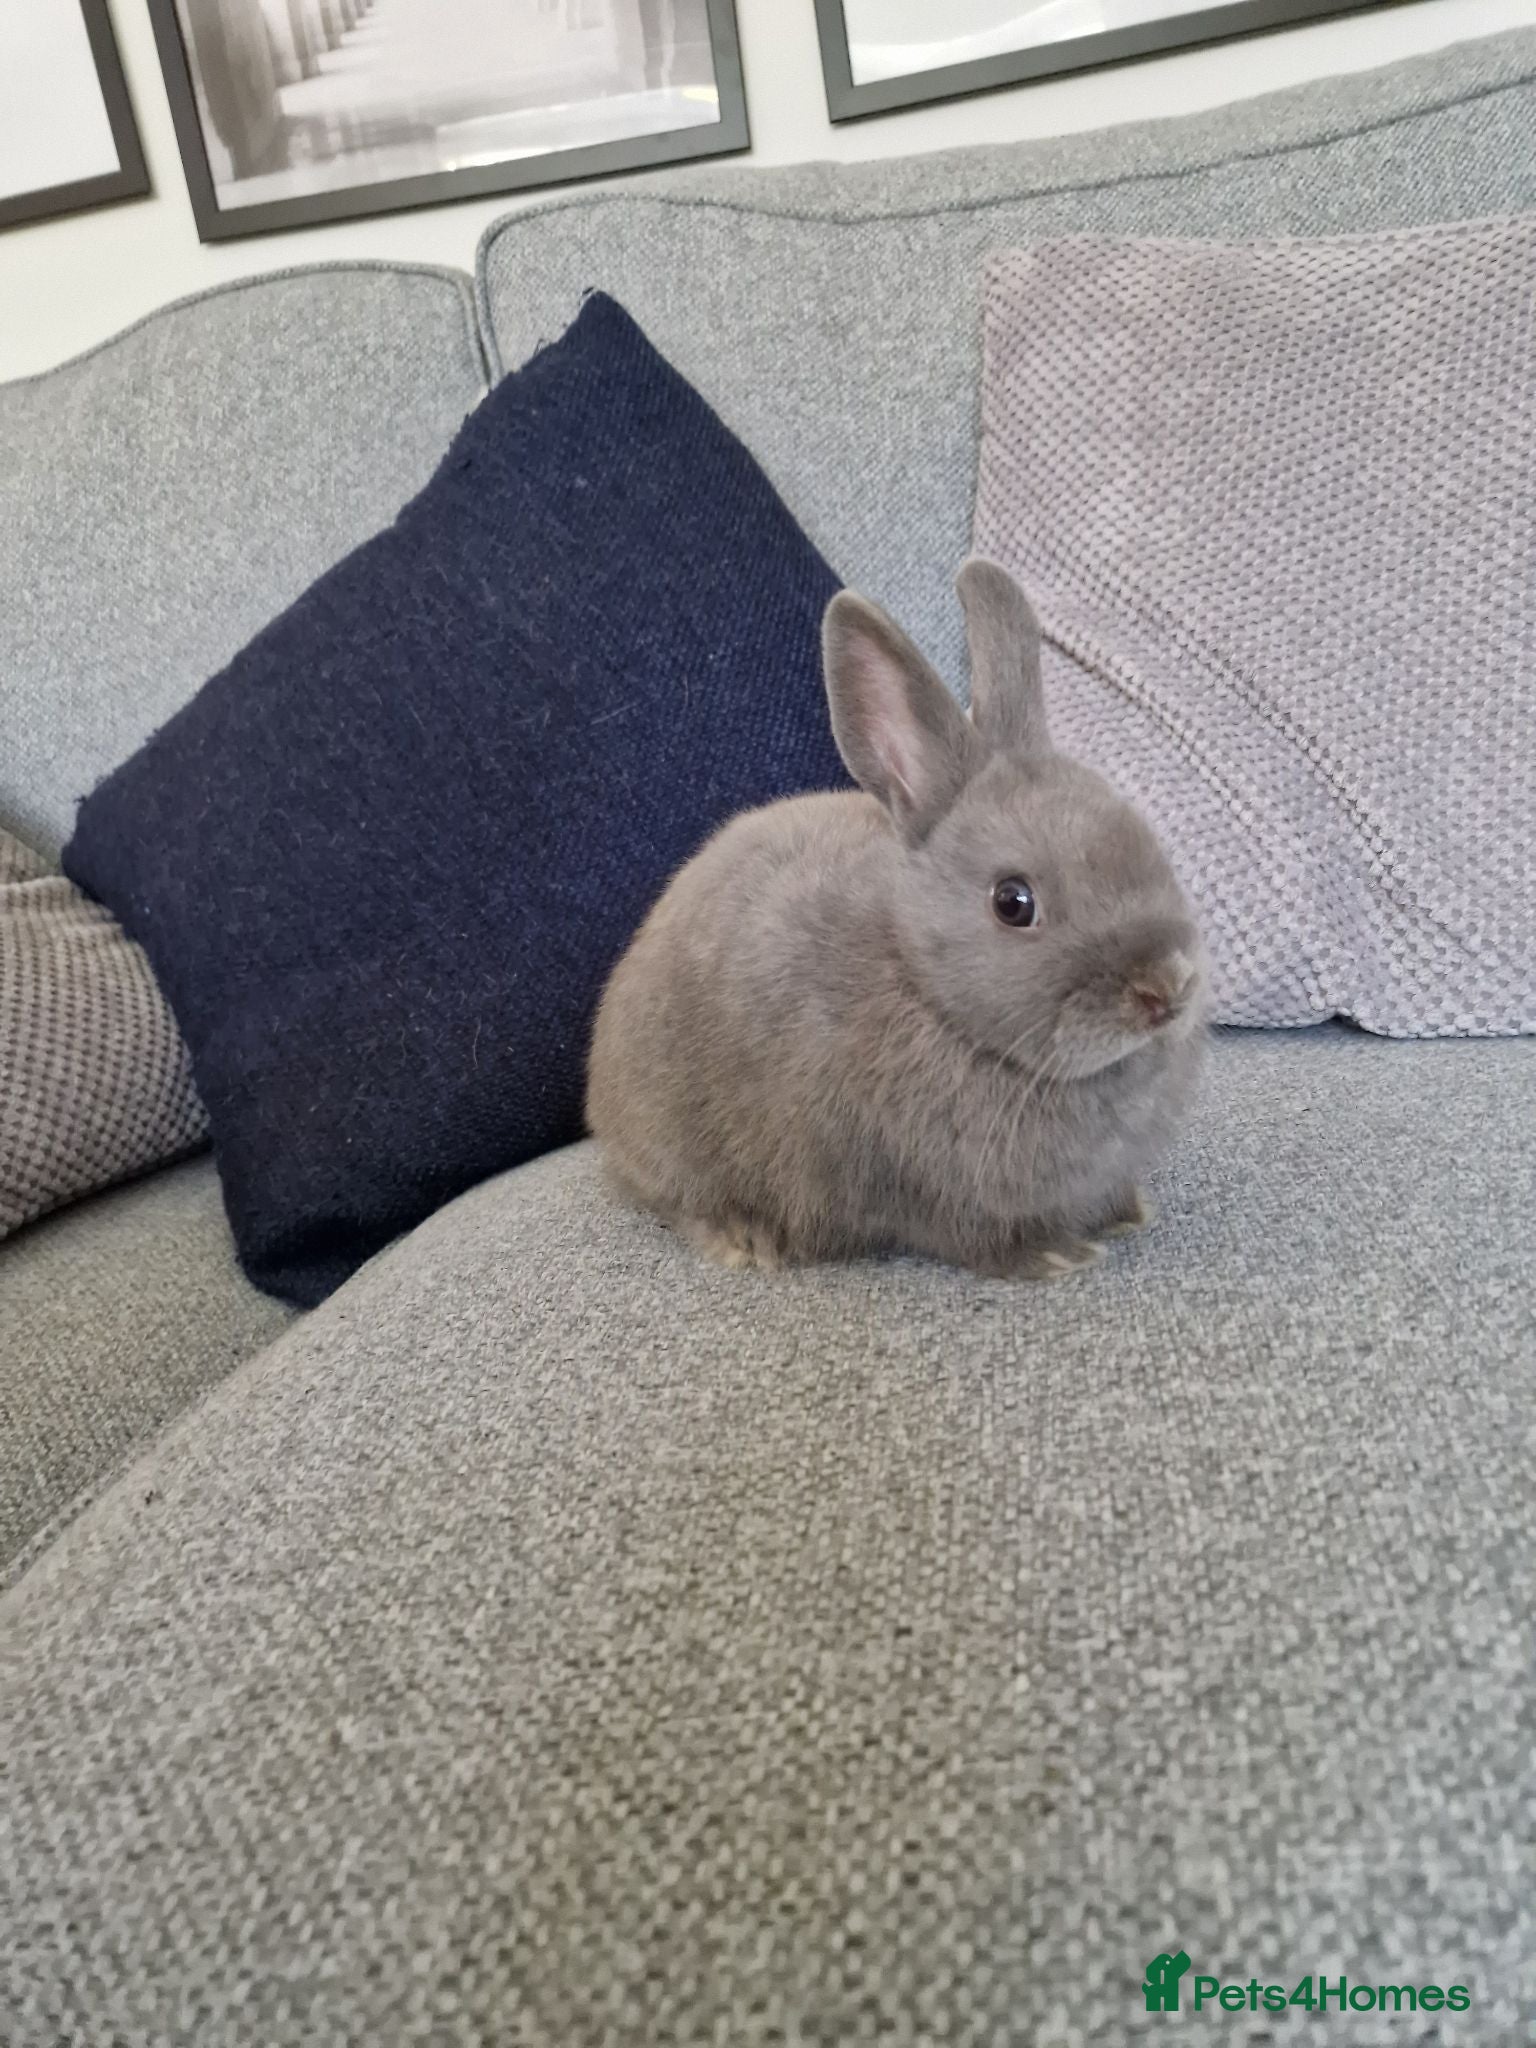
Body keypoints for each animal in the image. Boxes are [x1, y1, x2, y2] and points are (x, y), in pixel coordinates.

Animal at [586, 558, 1208, 1280]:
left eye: (1147, 841)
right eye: (1013, 902)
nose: (1166, 988)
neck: (927, 986)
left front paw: (1130, 1211)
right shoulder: (925, 1190)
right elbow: (977, 1237)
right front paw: (1058, 1254)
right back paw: (747, 1240)